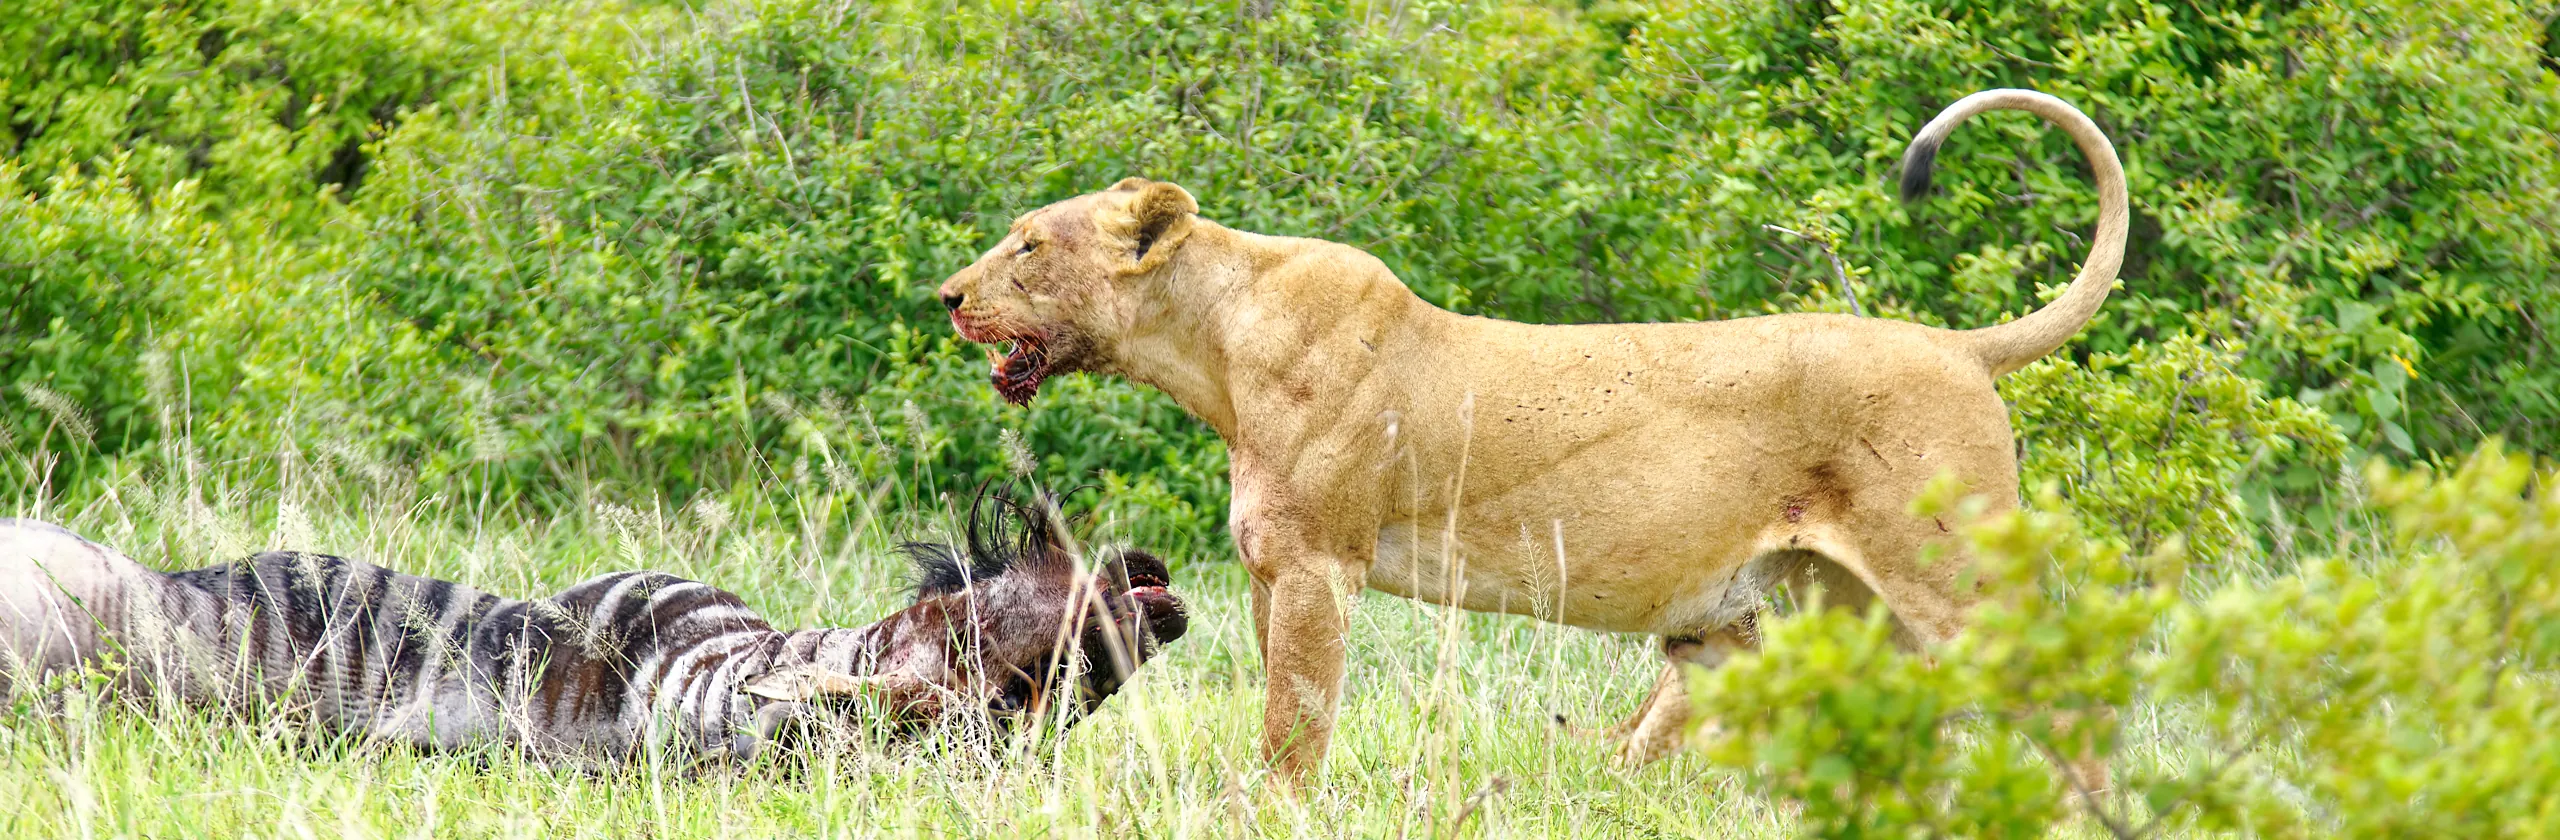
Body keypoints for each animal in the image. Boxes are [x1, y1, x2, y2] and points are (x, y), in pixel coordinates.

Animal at [934, 89, 2126, 786]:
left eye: (1029, 246)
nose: (946, 297)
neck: (1215, 348)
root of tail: (1958, 346)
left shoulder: (1319, 564)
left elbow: (1294, 722)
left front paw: (1269, 807)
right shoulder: (1272, 570)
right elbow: (1280, 704)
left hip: (1954, 580)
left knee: (2071, 707)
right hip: (1834, 605)